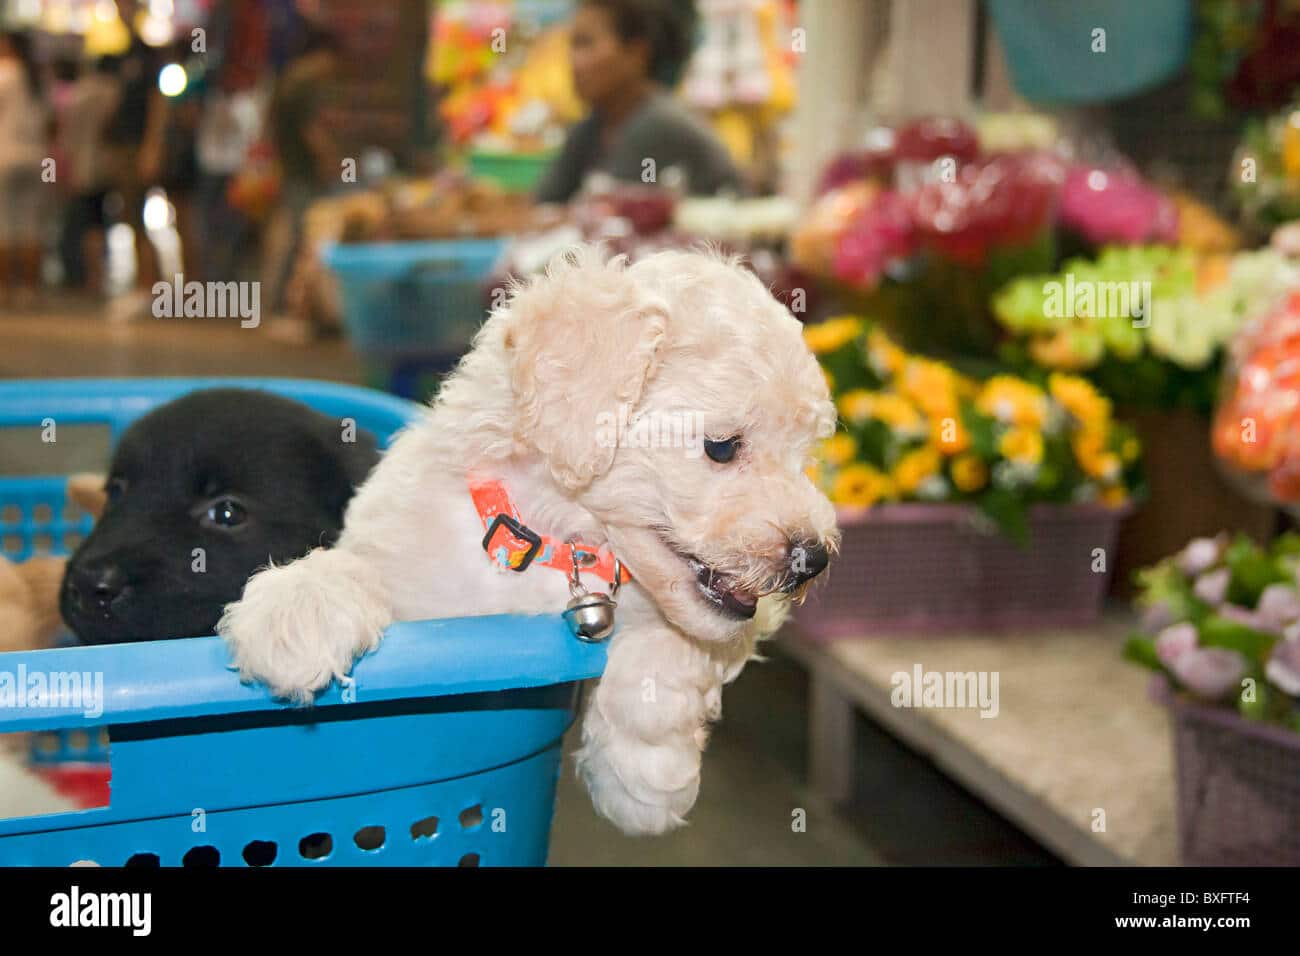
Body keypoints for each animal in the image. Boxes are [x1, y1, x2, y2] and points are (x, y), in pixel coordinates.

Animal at [218, 247, 837, 837]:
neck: (549, 544)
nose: (813, 558)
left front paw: (645, 775)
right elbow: (353, 567)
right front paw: (297, 613)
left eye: (805, 455)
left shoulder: (732, 623)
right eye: (722, 447)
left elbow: (681, 643)